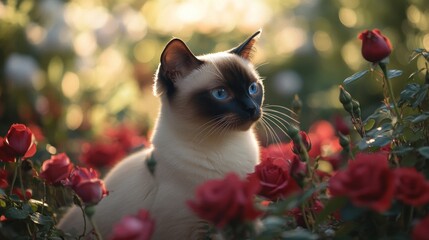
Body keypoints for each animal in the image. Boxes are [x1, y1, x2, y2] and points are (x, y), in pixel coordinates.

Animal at [56, 31, 264, 239]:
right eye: (221, 93)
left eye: (253, 88)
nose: (251, 108)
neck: (226, 147)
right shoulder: (190, 228)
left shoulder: (245, 217)